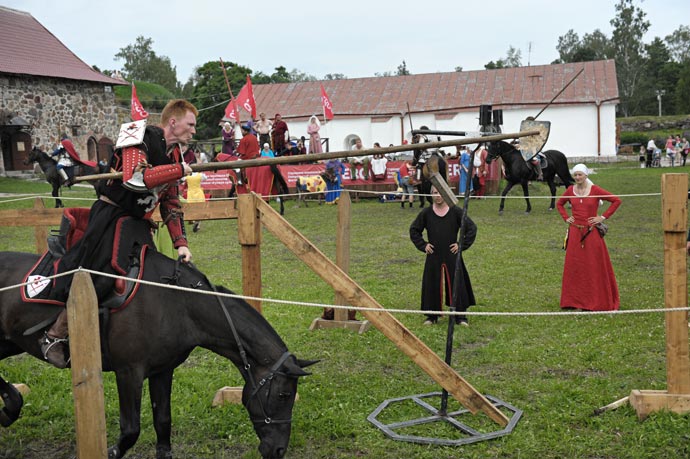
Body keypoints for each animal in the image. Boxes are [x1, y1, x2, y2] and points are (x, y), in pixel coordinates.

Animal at [0, 252, 312, 459]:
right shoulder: (129, 372)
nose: (278, 450)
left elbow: (163, 422)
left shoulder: (162, 371)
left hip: (9, 342)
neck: (178, 304)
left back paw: (10, 407)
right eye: (284, 395)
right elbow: (130, 429)